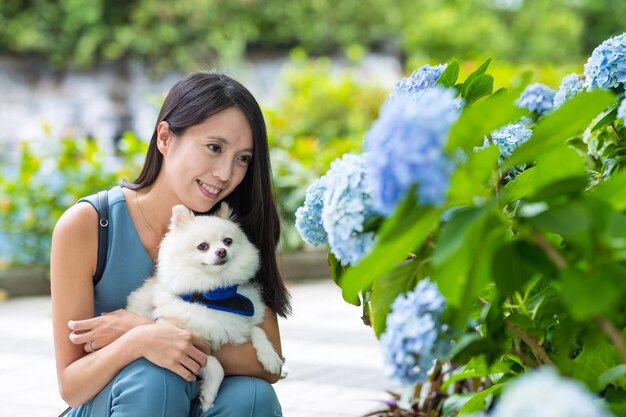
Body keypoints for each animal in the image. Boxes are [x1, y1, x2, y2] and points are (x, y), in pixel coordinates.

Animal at [125, 202, 282, 410]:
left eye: (228, 241)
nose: (221, 251)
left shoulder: (238, 323)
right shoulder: (179, 338)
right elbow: (215, 364)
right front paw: (208, 395)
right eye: (202, 246)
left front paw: (269, 356)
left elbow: (256, 330)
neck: (214, 295)